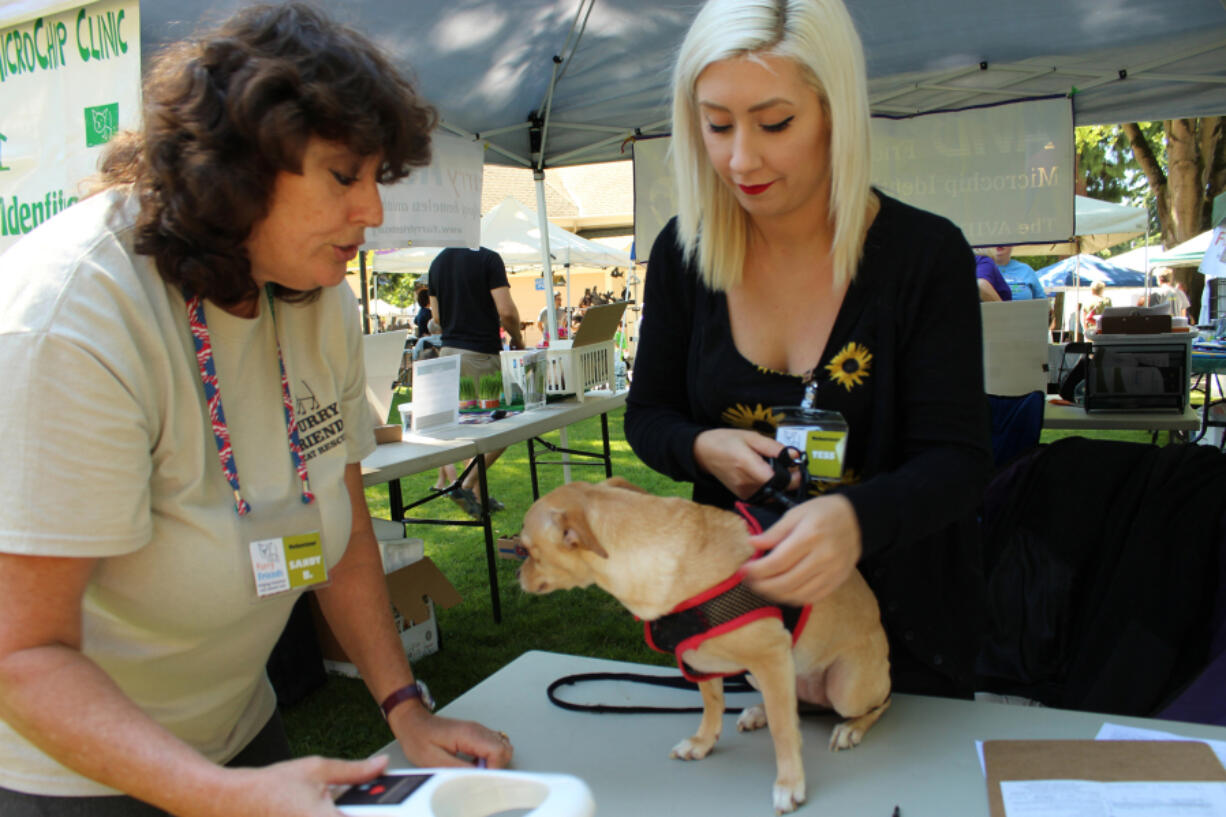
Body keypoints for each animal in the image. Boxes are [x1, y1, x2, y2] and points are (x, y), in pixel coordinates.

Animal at [517, 478, 892, 809]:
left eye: (527, 550)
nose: (518, 575)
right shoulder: (701, 660)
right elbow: (713, 704)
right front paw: (702, 742)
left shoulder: (771, 656)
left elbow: (785, 731)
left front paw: (789, 784)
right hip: (765, 675)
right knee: (795, 701)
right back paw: (759, 711)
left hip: (845, 689)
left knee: (878, 703)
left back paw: (850, 728)